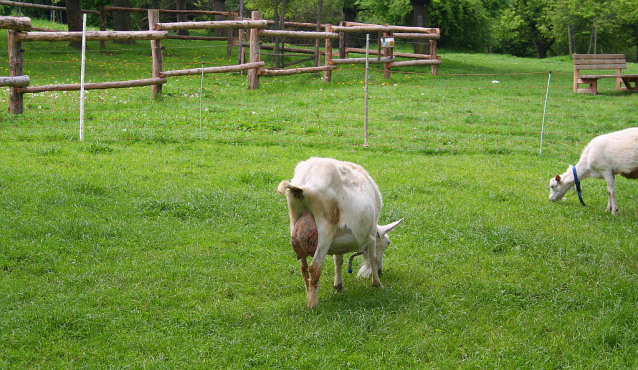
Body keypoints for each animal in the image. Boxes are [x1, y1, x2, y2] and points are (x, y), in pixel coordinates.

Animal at [278, 158, 402, 308]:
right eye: (386, 244)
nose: (380, 271)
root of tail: (303, 185)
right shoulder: (372, 231)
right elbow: (373, 258)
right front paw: (377, 284)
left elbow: (338, 260)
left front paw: (338, 286)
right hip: (325, 227)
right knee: (314, 268)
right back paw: (313, 304)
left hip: (295, 222)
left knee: (303, 267)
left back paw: (308, 294)